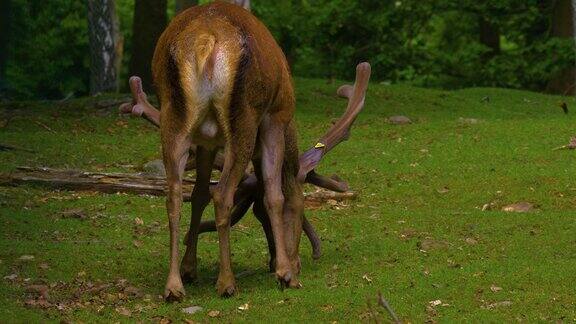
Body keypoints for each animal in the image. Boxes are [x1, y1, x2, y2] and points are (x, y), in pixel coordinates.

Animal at [122, 1, 374, 302]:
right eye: (300, 212)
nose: (291, 261)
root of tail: (206, 40)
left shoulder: (206, 142)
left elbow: (198, 195)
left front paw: (189, 267)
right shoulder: (275, 118)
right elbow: (275, 194)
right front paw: (286, 274)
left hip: (173, 119)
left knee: (173, 195)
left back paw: (173, 286)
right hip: (244, 118)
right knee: (222, 194)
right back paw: (227, 282)